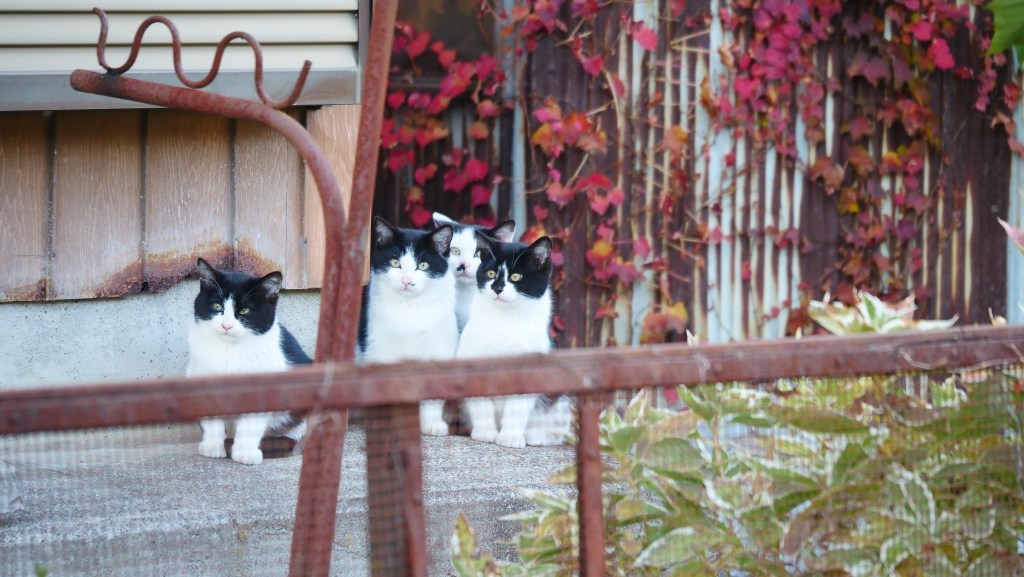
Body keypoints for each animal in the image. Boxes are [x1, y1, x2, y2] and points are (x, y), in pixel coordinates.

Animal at [186, 258, 311, 466]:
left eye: (245, 310)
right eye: (217, 307)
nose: (226, 325)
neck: (230, 350)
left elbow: (251, 423)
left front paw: (245, 453)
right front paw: (212, 447)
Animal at [357, 216, 458, 436]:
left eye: (423, 265)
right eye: (395, 263)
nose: (406, 281)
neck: (410, 308)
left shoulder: (438, 350)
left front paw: (432, 423)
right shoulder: (379, 350)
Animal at [456, 234, 572, 448]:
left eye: (515, 277)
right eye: (491, 273)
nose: (497, 288)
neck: (505, 320)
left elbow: (518, 406)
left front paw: (510, 437)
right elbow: (481, 402)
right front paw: (485, 433)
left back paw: (537, 436)